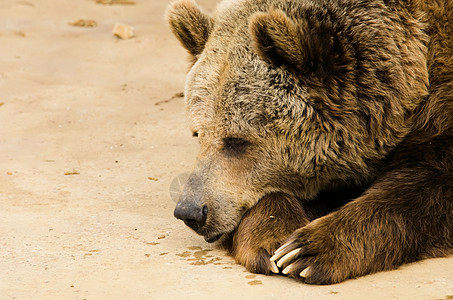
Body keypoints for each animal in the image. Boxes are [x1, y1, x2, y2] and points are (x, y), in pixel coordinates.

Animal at [166, 0, 452, 284]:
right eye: (198, 134)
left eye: (236, 140)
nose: (191, 211)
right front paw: (273, 238)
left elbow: (425, 186)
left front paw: (308, 250)